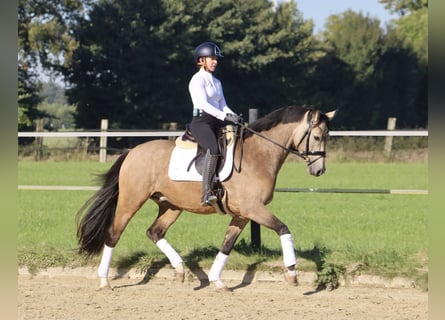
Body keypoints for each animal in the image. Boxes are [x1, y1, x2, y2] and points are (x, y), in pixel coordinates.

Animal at [76, 105, 334, 290]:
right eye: (317, 137)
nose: (319, 170)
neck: (258, 155)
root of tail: (131, 152)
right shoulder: (253, 209)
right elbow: (283, 229)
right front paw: (292, 272)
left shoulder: (242, 214)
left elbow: (227, 244)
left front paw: (217, 280)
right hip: (131, 201)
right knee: (113, 234)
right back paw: (104, 281)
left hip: (171, 206)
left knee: (154, 232)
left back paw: (181, 270)